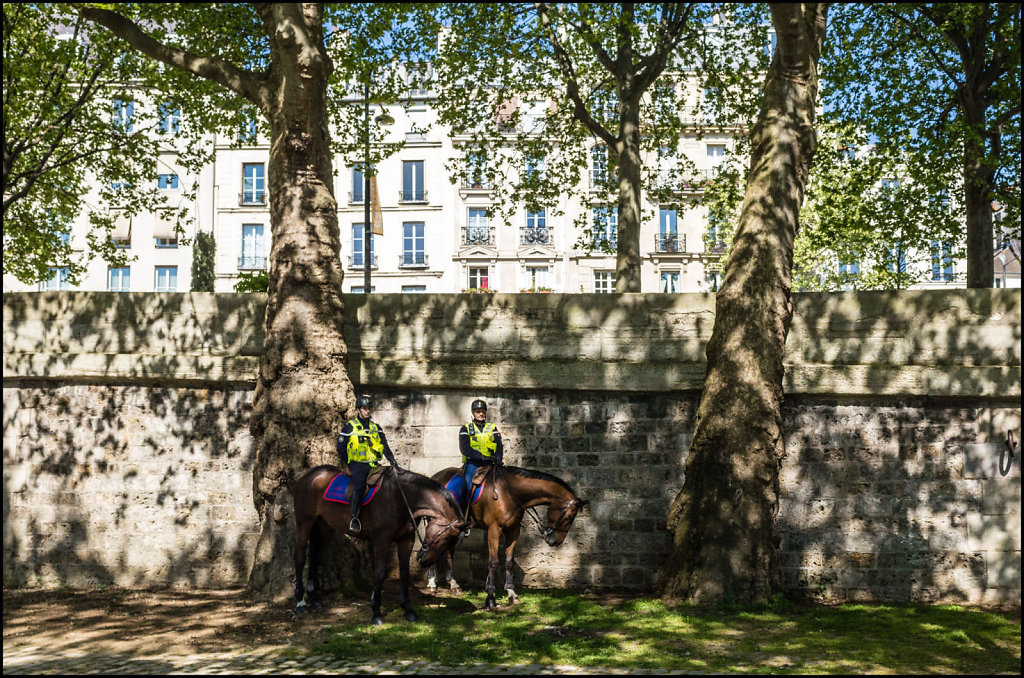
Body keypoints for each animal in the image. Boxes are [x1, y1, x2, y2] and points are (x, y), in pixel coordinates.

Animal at [290, 467, 468, 626]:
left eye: (451, 541)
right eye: (445, 538)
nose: (425, 562)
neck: (402, 498)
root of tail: (308, 475)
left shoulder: (406, 539)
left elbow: (404, 573)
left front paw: (408, 610)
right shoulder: (382, 539)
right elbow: (380, 572)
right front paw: (376, 612)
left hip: (324, 525)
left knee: (315, 556)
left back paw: (314, 598)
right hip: (304, 521)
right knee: (299, 557)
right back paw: (300, 601)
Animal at [428, 467, 589, 610]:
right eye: (569, 516)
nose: (556, 541)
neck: (508, 493)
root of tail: (435, 476)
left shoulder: (513, 531)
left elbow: (509, 561)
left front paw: (512, 594)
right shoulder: (494, 530)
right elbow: (493, 562)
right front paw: (490, 598)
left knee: (449, 551)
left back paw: (453, 584)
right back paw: (432, 583)